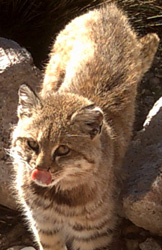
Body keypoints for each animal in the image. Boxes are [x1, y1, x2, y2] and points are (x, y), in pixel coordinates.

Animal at [10, 2, 159, 250]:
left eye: (63, 150)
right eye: (32, 144)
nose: (40, 169)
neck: (58, 196)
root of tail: (111, 10)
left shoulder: (93, 233)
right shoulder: (44, 224)